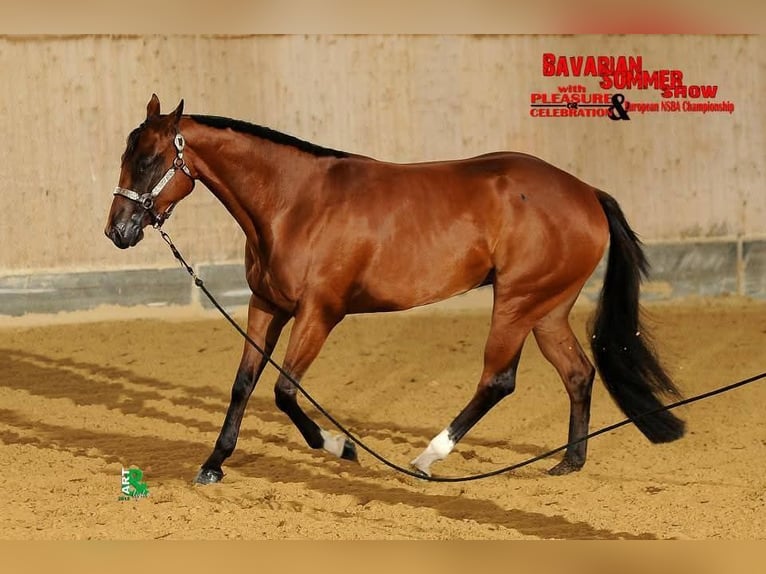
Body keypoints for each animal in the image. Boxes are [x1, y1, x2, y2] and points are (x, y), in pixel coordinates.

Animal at [105, 94, 684, 484]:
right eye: (126, 156)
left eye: (149, 160)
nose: (118, 231)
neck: (295, 204)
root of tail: (586, 192)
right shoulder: (266, 306)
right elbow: (243, 385)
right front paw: (213, 464)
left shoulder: (320, 312)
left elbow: (285, 391)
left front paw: (340, 447)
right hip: (548, 310)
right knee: (578, 374)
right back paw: (568, 462)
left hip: (517, 303)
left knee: (498, 380)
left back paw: (427, 458)